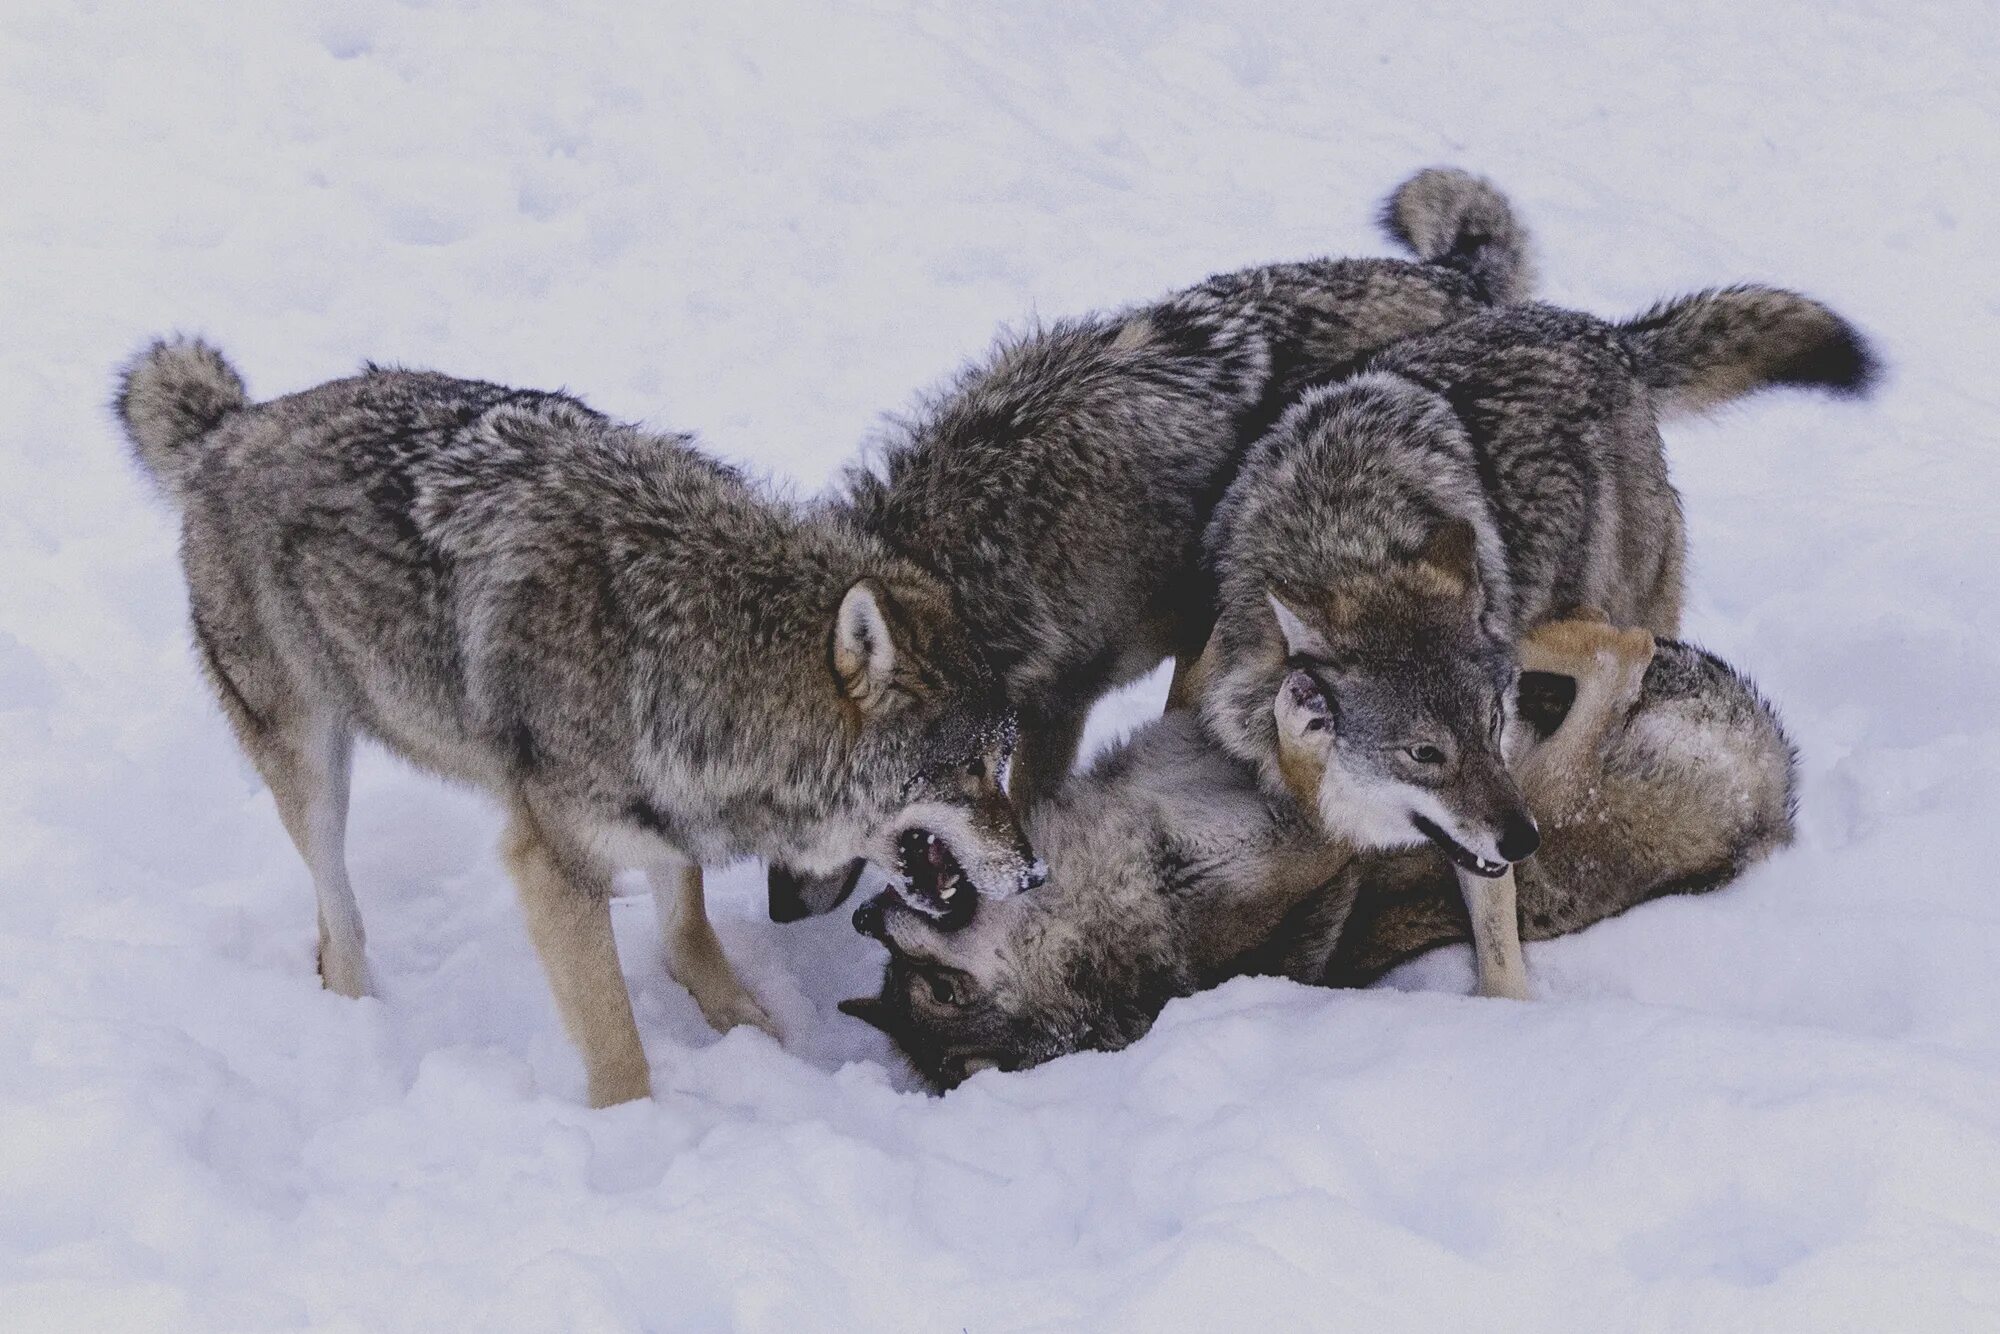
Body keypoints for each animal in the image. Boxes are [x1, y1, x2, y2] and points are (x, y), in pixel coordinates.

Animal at [115, 342, 1040, 1104]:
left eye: (1003, 763)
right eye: (966, 771)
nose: (1034, 875)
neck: (687, 645)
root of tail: (230, 427)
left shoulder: (667, 807)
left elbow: (688, 935)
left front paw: (756, 1031)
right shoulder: (550, 865)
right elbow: (616, 1041)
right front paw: (638, 1137)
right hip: (313, 773)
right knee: (337, 926)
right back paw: (358, 1017)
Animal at [844, 620, 1800, 1088]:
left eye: (906, 973)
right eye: (930, 988)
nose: (863, 916)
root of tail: (1770, 804)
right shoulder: (1324, 839)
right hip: (1524, 819)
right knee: (1613, 657)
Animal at [1184, 288, 1872, 996]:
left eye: (1491, 728)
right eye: (1424, 753)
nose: (1520, 841)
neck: (1346, 529)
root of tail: (1605, 335)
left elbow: (1496, 952)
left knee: (1619, 650)